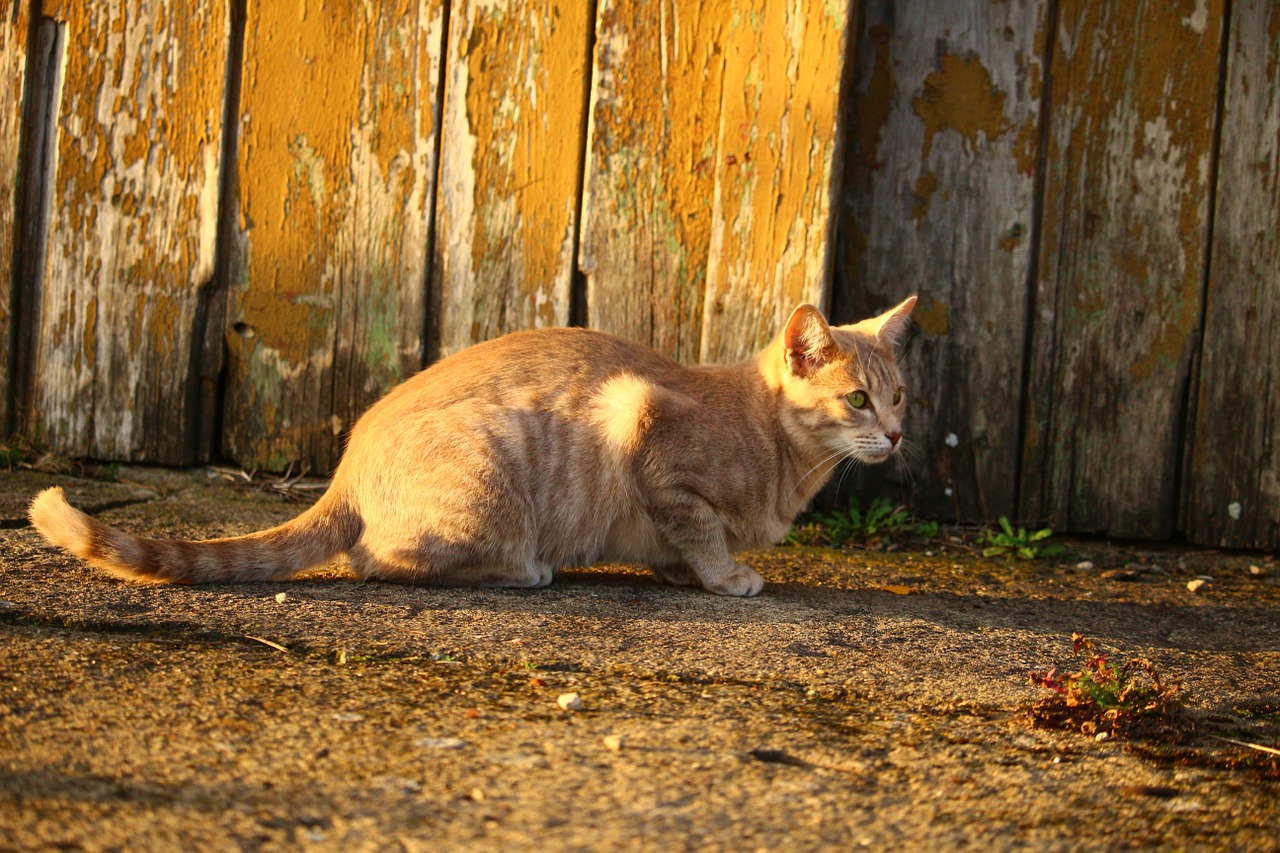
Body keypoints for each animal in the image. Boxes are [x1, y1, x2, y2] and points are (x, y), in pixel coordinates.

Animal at [27, 295, 911, 594]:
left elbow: (678, 547)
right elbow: (699, 532)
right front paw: (726, 577)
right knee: (375, 557)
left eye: (902, 394)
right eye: (857, 399)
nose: (899, 433)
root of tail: (345, 469)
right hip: (492, 470)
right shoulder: (643, 425)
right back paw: (523, 568)